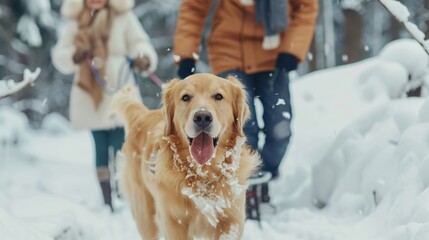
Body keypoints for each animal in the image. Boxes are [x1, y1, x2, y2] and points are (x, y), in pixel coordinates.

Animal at [110, 73, 258, 240]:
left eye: (218, 96)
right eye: (186, 97)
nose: (202, 117)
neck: (203, 173)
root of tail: (142, 115)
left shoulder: (232, 218)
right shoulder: (173, 220)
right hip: (144, 212)